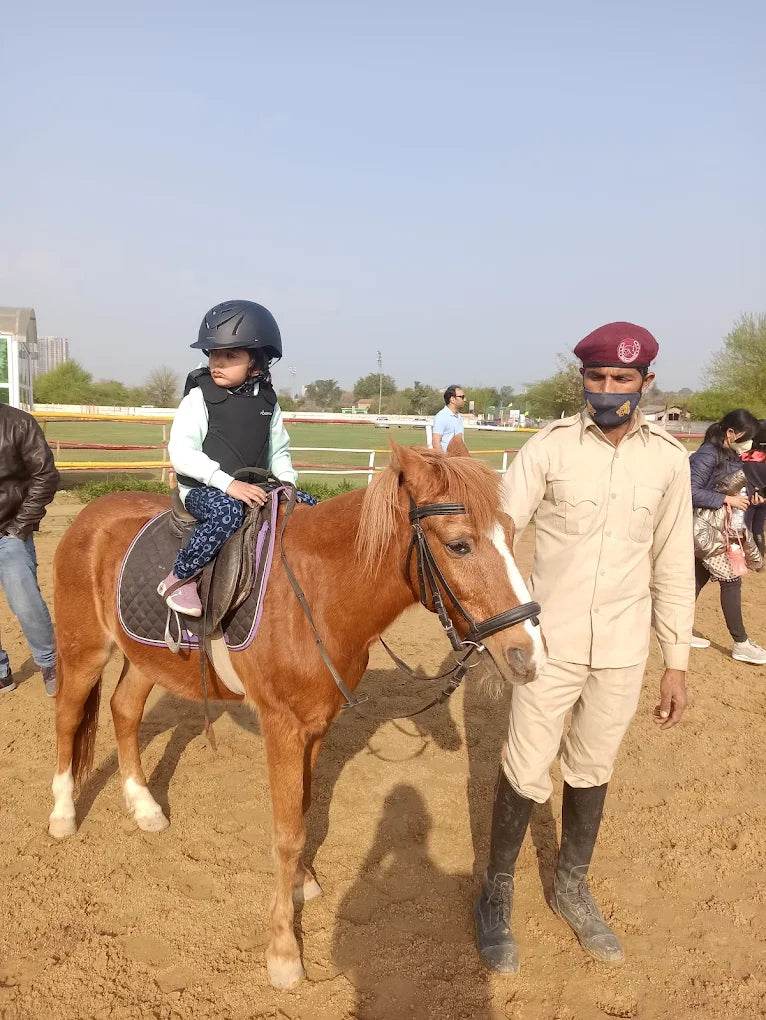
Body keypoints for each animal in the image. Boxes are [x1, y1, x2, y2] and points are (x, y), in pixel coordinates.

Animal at [48, 441, 544, 989]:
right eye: (459, 546)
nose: (528, 655)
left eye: (513, 534)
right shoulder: (282, 727)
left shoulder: (317, 724)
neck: (319, 590)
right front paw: (284, 952)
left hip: (146, 658)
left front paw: (303, 882)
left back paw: (144, 807)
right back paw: (63, 814)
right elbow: (286, 835)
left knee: (125, 711)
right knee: (68, 718)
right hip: (83, 650)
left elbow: (304, 811)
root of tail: (91, 515)